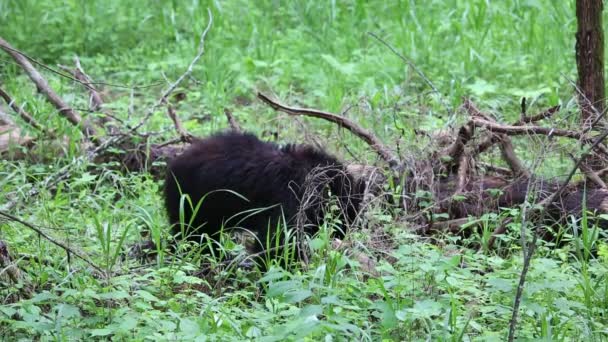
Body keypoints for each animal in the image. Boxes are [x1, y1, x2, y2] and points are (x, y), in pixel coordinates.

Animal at [163, 131, 366, 268]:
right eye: (348, 216)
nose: (343, 235)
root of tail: (172, 166)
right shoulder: (291, 194)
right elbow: (278, 238)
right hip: (191, 200)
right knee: (193, 234)